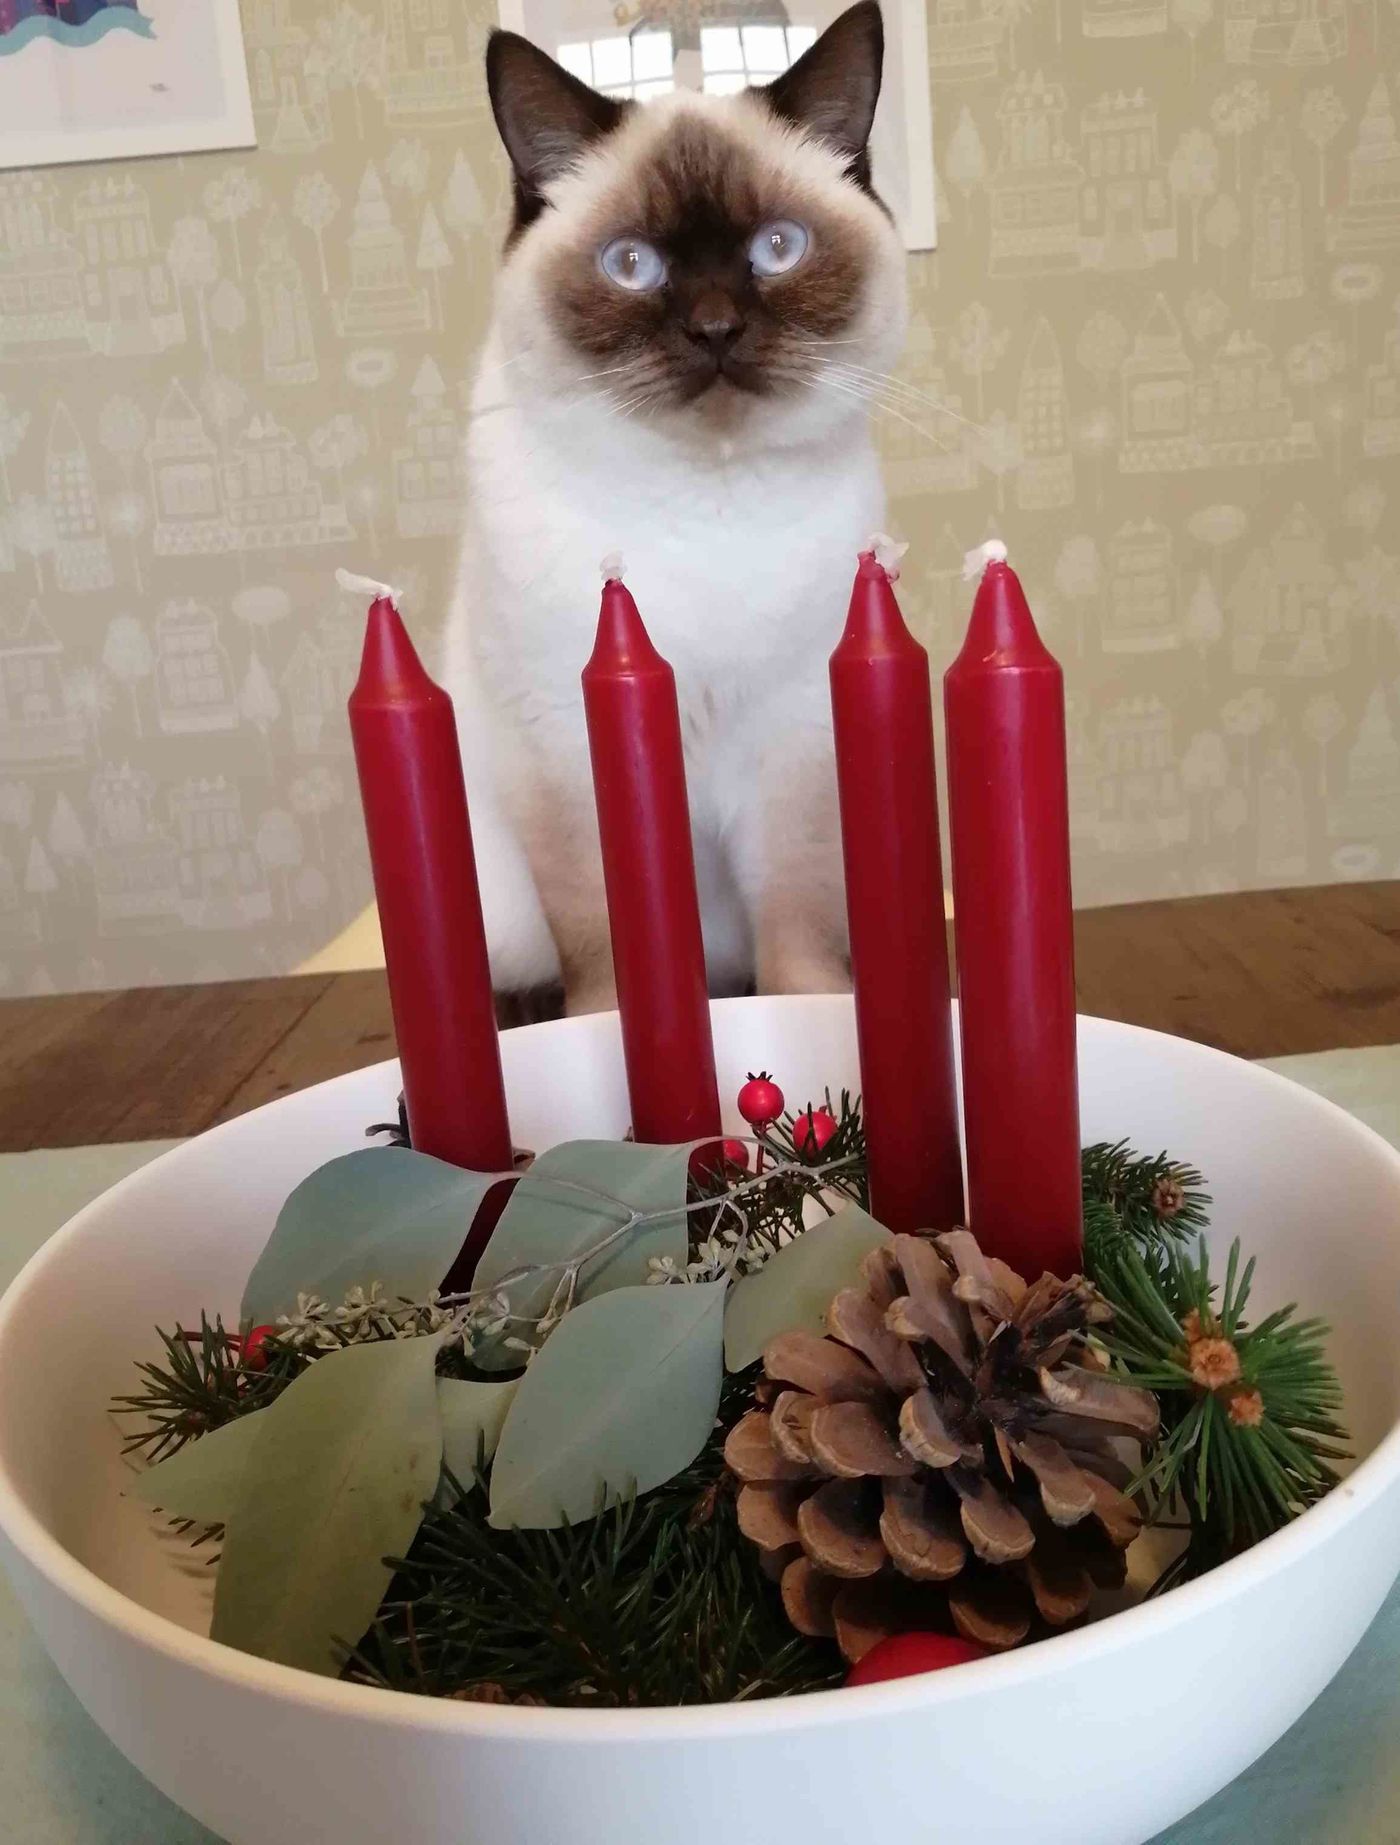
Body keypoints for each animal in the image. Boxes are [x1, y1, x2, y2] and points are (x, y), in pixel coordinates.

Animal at [443, 0, 908, 1015]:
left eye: (777, 249)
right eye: (633, 265)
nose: (715, 330)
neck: (705, 503)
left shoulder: (794, 749)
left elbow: (796, 932)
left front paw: (813, 1026)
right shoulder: (565, 756)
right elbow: (602, 945)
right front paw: (599, 1034)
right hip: (494, 905)